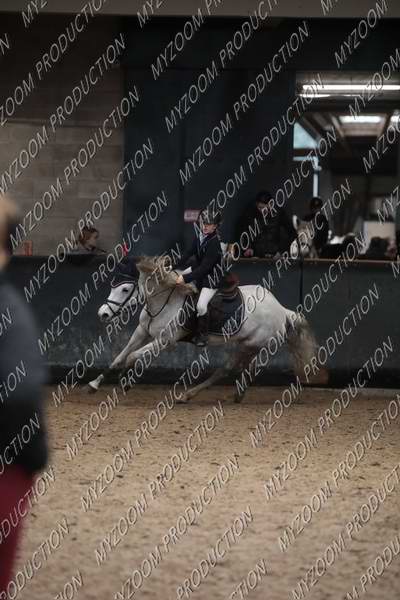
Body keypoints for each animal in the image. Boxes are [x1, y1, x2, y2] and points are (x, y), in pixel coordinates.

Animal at [88, 254, 317, 403]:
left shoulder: (165, 341)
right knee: (228, 369)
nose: (102, 314)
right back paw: (200, 395)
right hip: (246, 344)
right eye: (113, 286)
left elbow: (132, 356)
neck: (164, 301)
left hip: (254, 344)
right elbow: (120, 357)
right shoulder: (142, 332)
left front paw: (125, 381)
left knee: (239, 368)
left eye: (125, 289)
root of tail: (281, 309)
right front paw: (94, 384)